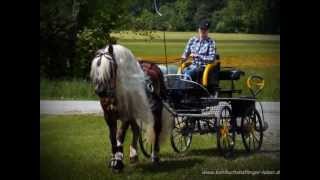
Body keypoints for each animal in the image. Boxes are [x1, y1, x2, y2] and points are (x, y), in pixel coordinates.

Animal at [89, 44, 171, 172]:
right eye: (96, 68)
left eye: (110, 68)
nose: (100, 91)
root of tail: (154, 66)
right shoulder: (109, 116)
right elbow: (112, 137)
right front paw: (114, 160)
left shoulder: (126, 115)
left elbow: (120, 135)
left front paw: (118, 162)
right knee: (136, 129)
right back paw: (134, 154)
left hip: (156, 109)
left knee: (157, 129)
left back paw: (155, 155)